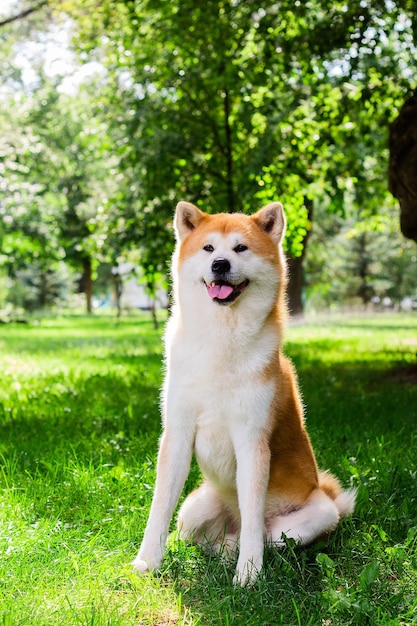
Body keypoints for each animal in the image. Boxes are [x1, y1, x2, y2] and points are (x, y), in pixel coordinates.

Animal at [132, 201, 354, 584]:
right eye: (208, 248)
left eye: (241, 248)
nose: (220, 264)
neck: (221, 341)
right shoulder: (177, 433)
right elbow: (159, 508)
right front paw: (147, 562)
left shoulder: (252, 441)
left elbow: (252, 518)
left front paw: (249, 573)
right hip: (193, 509)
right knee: (202, 537)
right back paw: (220, 552)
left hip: (319, 514)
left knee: (265, 534)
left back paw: (237, 553)